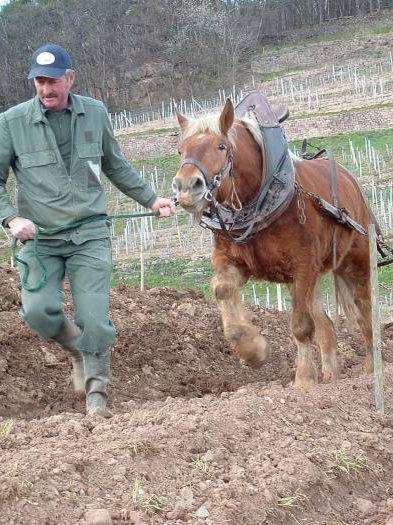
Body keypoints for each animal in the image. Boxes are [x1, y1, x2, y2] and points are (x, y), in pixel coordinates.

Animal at [173, 96, 376, 386]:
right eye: (180, 150)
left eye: (221, 146)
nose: (186, 187)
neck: (261, 197)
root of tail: (350, 180)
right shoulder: (234, 260)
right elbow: (222, 290)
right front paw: (253, 349)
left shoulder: (303, 265)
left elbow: (302, 327)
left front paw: (303, 380)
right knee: (326, 325)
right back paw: (331, 376)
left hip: (355, 262)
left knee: (364, 313)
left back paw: (371, 369)